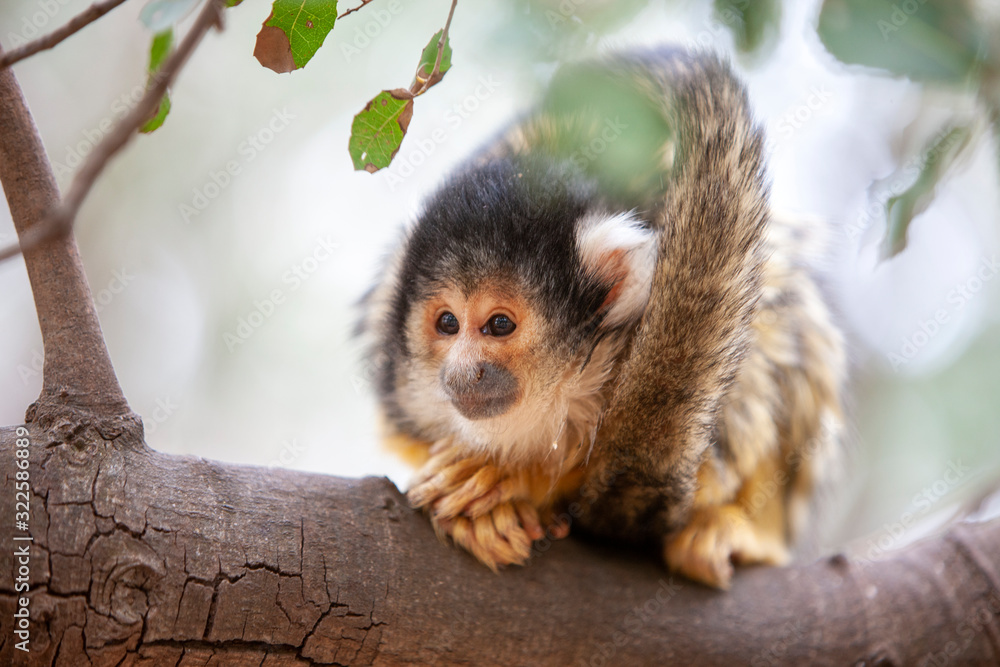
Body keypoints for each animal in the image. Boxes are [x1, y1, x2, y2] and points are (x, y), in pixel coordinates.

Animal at [358, 47, 846, 589]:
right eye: (447, 323)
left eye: (499, 325)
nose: (464, 371)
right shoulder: (404, 392)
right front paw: (491, 505)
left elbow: (705, 467)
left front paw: (514, 477)